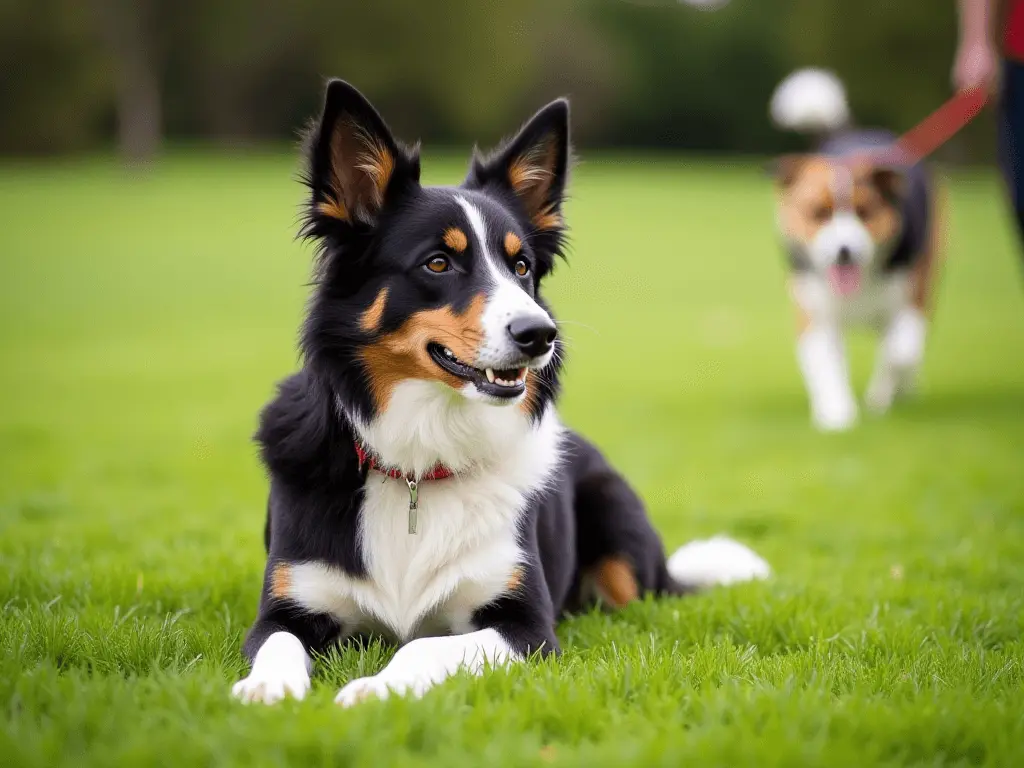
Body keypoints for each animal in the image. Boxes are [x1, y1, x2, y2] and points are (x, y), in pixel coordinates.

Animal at [228, 81, 765, 708]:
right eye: (438, 262)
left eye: (522, 266)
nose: (540, 335)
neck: (419, 462)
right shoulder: (285, 605)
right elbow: (277, 643)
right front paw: (265, 687)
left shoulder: (527, 627)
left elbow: (421, 646)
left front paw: (375, 690)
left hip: (619, 535)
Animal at [770, 69, 942, 434]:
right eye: (819, 213)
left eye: (864, 212)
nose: (844, 251)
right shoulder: (814, 313)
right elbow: (825, 365)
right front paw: (836, 414)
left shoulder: (912, 297)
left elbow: (900, 350)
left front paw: (880, 394)